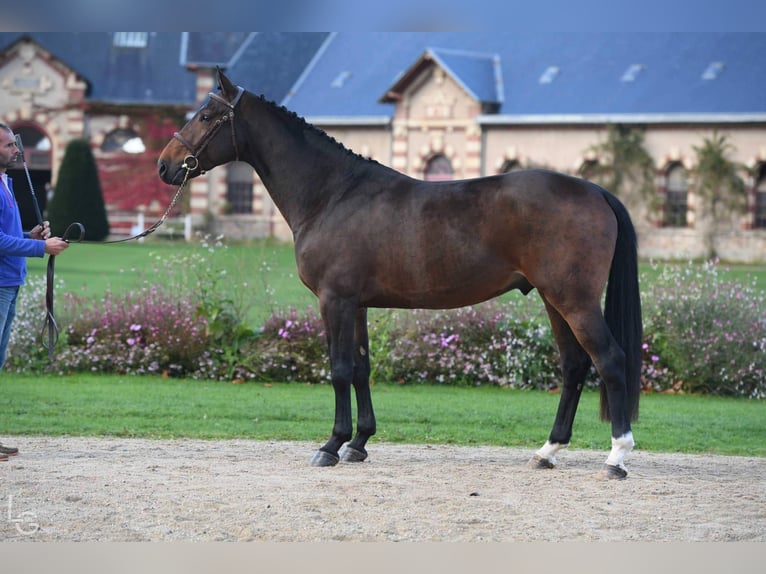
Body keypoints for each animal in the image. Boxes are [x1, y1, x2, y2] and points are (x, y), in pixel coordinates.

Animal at [159, 68, 644, 482]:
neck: (333, 194)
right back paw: (548, 451)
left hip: (573, 299)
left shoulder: (334, 300)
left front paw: (331, 445)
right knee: (574, 364)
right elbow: (361, 368)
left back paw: (616, 457)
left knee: (610, 359)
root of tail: (595, 190)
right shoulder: (355, 305)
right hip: (552, 298)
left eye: (206, 116)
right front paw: (358, 442)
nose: (166, 165)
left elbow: (339, 369)